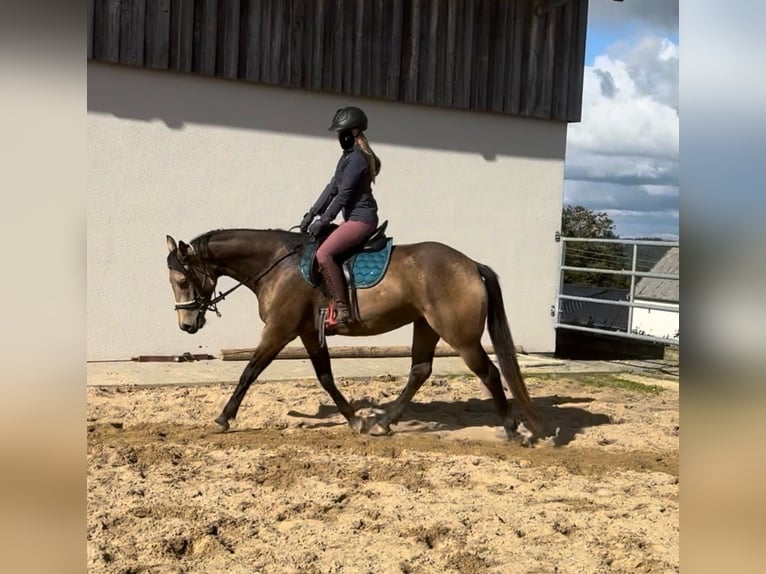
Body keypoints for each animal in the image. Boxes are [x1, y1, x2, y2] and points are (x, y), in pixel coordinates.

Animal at [168, 227, 540, 444]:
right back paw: (385, 422)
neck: (277, 264)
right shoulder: (308, 332)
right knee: (420, 370)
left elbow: (250, 371)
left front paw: (224, 418)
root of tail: (471, 265)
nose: (186, 325)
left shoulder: (280, 329)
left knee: (489, 373)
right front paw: (355, 419)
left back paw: (511, 429)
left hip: (460, 336)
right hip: (426, 326)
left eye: (182, 280)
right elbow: (325, 377)